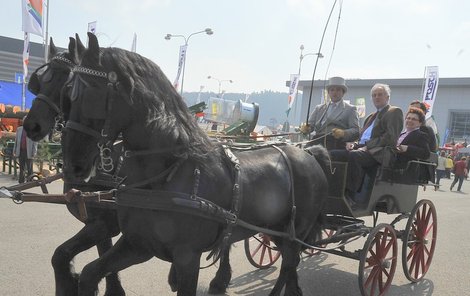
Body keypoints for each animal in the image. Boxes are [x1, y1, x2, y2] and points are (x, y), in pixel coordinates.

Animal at [61, 31, 326, 294]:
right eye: (68, 95)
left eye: (91, 94)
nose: (73, 165)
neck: (167, 173)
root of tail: (309, 153)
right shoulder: (138, 244)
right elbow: (89, 273)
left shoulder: (187, 257)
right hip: (277, 232)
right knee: (289, 267)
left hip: (293, 233)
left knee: (289, 266)